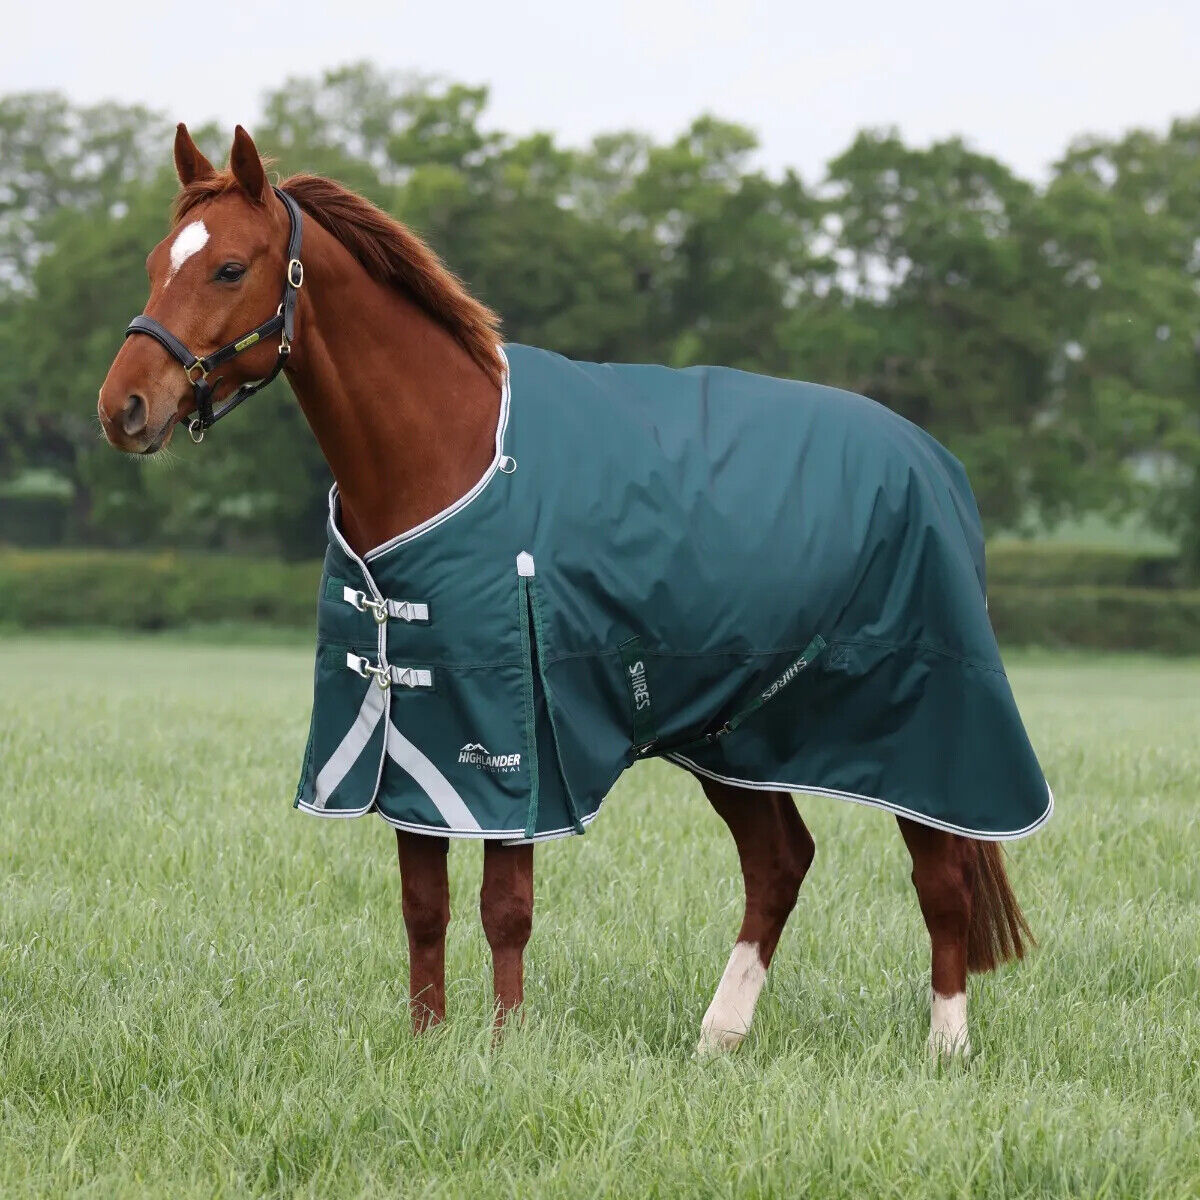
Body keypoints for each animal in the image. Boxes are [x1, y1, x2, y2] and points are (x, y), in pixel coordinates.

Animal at [97, 124, 1040, 1058]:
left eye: (228, 268)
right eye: (153, 261)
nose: (124, 408)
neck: (447, 455)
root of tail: (931, 460)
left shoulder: (516, 741)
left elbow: (505, 907)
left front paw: (508, 1046)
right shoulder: (414, 735)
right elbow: (424, 906)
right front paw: (428, 1041)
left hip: (923, 725)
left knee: (942, 871)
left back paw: (946, 1045)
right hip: (737, 732)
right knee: (779, 863)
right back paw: (719, 1037)